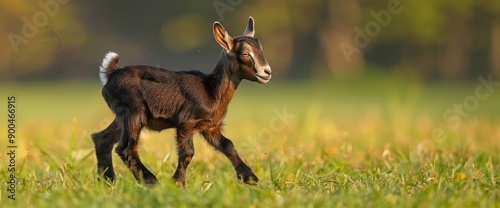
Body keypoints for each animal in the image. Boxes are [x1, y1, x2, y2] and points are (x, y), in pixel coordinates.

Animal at [90, 16, 270, 185]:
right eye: (245, 53)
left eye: (261, 50)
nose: (266, 72)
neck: (211, 91)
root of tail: (111, 74)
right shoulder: (186, 122)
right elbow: (187, 153)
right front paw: (177, 183)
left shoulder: (209, 126)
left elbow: (228, 145)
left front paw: (250, 178)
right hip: (134, 111)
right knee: (126, 148)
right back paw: (151, 182)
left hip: (121, 115)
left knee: (102, 138)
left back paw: (107, 182)